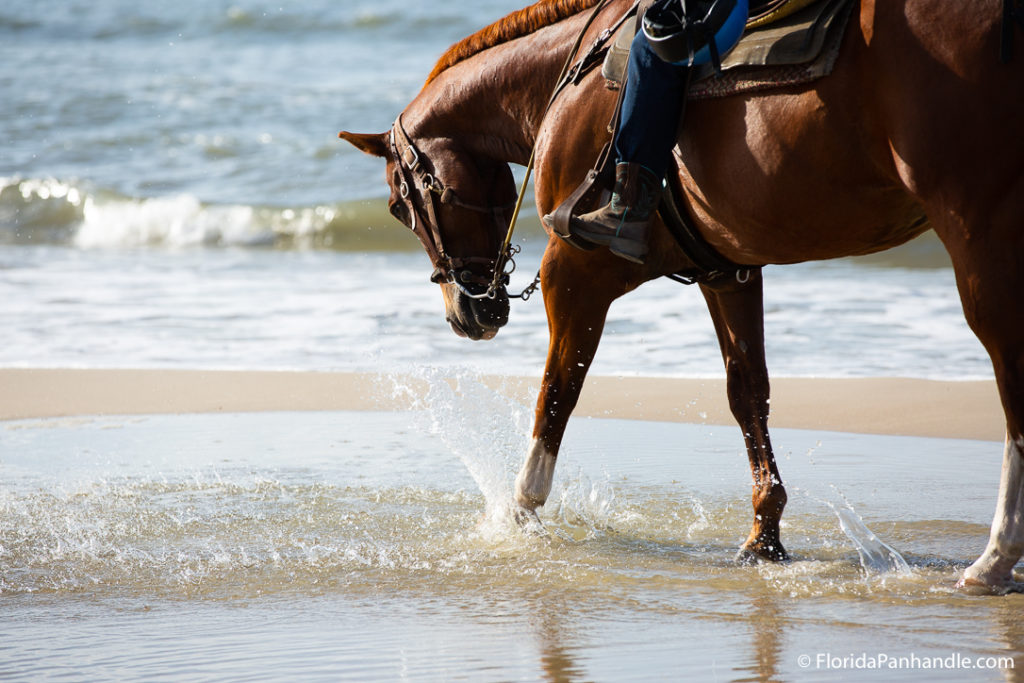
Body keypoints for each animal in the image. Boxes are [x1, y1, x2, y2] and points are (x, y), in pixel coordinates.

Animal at [339, 0, 1024, 593]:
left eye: (399, 205)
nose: (467, 313)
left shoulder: (575, 272)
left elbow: (556, 397)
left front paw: (521, 517)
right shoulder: (730, 272)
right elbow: (748, 395)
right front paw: (764, 537)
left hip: (977, 231)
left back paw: (995, 558)